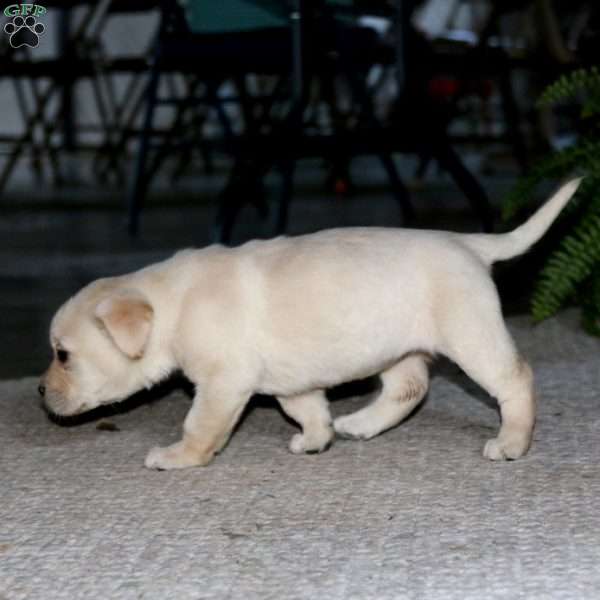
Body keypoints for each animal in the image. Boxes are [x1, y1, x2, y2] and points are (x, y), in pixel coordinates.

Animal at [38, 178, 580, 468]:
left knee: (515, 380)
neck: (173, 303)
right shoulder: (288, 379)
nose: (41, 391)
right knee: (410, 387)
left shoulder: (223, 382)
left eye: (63, 355)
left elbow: (200, 424)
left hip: (471, 337)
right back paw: (359, 423)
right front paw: (317, 438)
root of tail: (467, 242)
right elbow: (307, 409)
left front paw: (178, 456)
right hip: (396, 346)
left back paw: (512, 442)